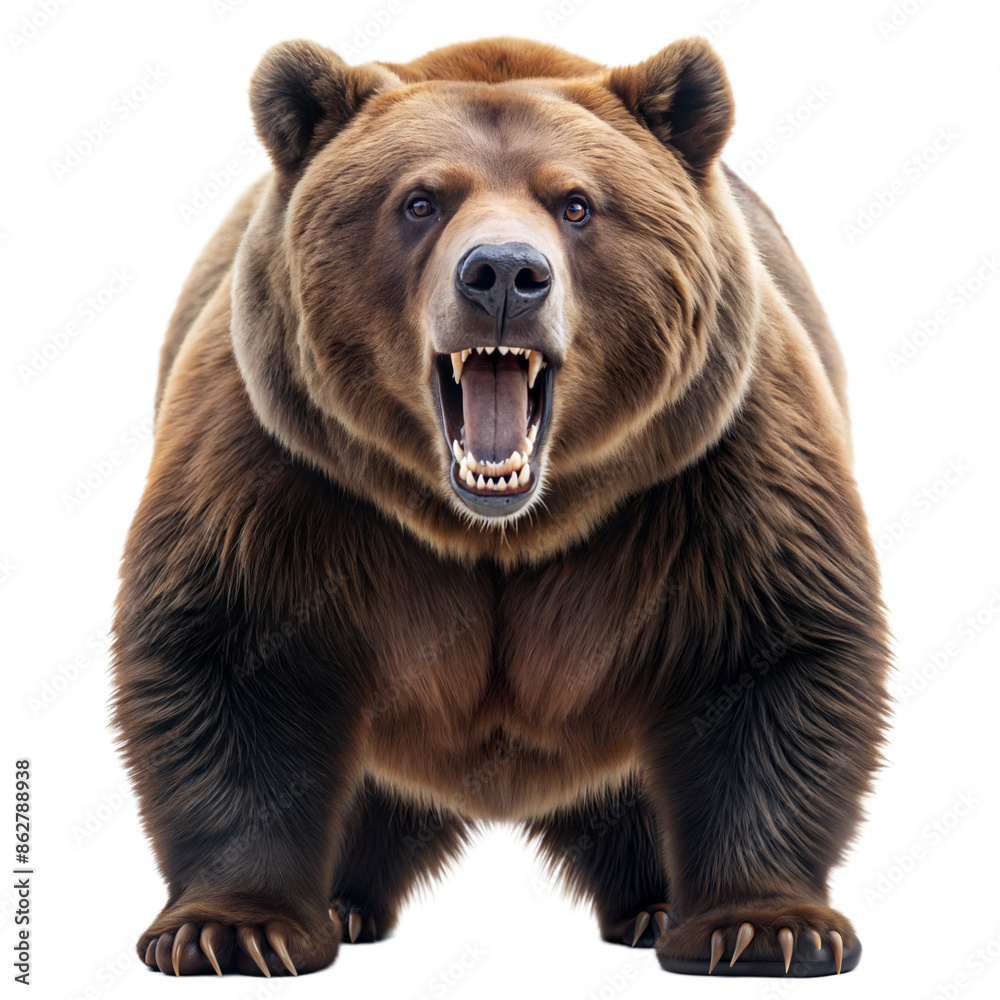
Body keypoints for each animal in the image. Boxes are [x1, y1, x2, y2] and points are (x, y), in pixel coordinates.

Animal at [111, 35, 890, 979]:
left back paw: (654, 905)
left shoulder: (710, 472)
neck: (501, 528)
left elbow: (767, 659)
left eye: (577, 203)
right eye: (420, 200)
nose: (505, 275)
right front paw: (230, 930)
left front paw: (767, 929)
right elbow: (232, 660)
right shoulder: (284, 472)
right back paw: (342, 902)